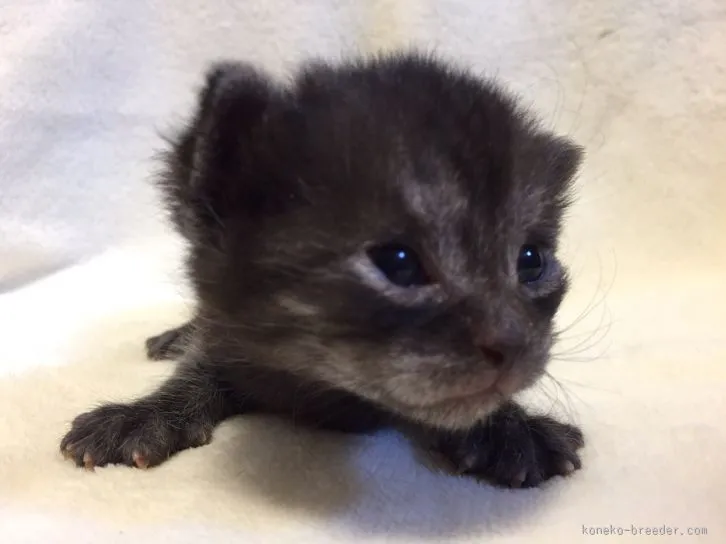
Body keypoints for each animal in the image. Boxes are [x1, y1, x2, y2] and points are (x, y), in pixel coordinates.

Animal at [61, 51, 584, 488]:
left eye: (531, 261)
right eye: (399, 263)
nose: (515, 343)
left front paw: (511, 426)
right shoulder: (230, 341)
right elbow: (200, 367)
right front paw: (145, 413)